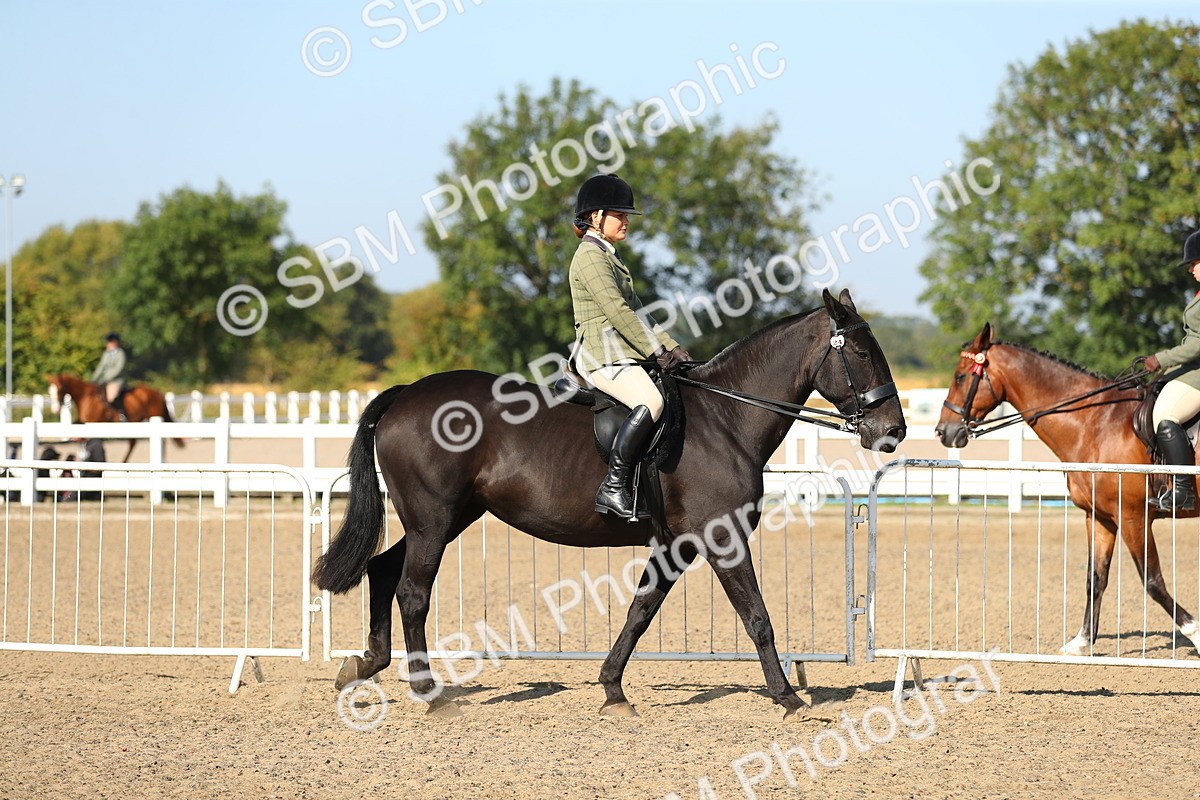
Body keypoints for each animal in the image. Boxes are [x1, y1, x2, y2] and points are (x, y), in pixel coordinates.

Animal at [46, 373, 183, 463]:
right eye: (50, 391)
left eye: (59, 389)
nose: (55, 409)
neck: (86, 397)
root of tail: (158, 393)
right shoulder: (84, 422)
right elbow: (79, 437)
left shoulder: (93, 422)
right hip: (134, 423)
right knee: (133, 443)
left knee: (161, 441)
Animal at [312, 288, 907, 720]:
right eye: (860, 353)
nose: (893, 432)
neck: (725, 419)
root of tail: (407, 394)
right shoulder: (722, 537)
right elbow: (757, 616)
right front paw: (788, 698)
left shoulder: (677, 544)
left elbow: (640, 611)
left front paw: (613, 691)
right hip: (434, 520)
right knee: (413, 593)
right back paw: (430, 693)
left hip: (446, 517)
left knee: (383, 569)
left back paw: (364, 665)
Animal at [934, 323, 1200, 656]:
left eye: (960, 376)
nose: (943, 432)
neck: (1095, 424)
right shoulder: (1101, 518)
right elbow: (1095, 578)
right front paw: (1080, 641)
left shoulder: (1133, 517)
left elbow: (1152, 581)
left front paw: (1195, 632)